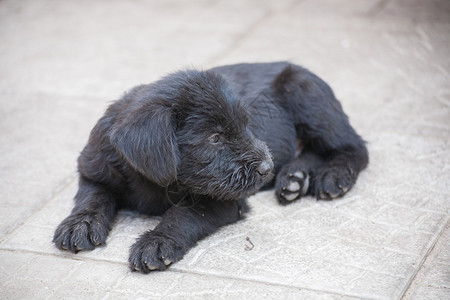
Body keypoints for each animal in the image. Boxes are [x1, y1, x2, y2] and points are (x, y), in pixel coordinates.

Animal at [53, 62, 370, 274]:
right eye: (214, 138)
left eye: (245, 125)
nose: (266, 167)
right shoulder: (94, 168)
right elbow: (93, 196)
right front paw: (81, 223)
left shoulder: (225, 199)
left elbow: (184, 214)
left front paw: (158, 241)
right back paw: (295, 178)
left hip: (309, 96)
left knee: (355, 147)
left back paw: (333, 176)